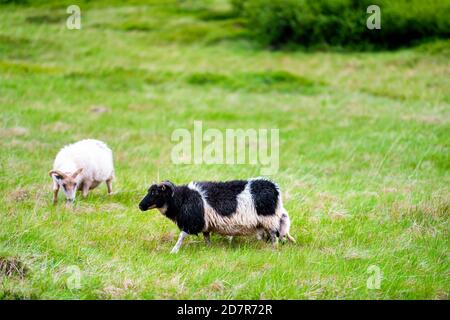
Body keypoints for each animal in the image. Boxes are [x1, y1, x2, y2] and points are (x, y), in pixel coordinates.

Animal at [139, 178, 298, 252]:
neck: (181, 199)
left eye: (155, 192)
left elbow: (181, 236)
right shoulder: (205, 224)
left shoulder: (192, 220)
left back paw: (273, 249)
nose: (140, 206)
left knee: (273, 236)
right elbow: (207, 238)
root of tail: (275, 188)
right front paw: (208, 249)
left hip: (269, 220)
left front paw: (174, 251)